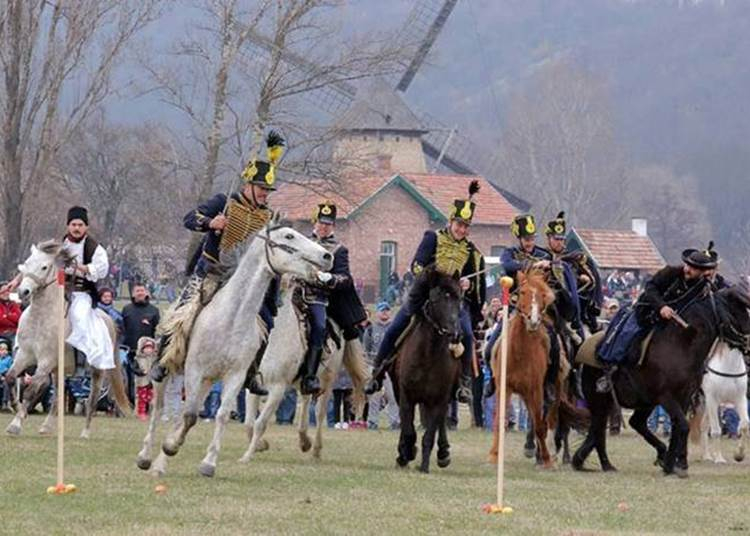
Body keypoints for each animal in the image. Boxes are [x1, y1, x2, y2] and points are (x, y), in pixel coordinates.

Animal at [4, 241, 131, 438]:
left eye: (44, 267)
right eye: (27, 263)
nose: (23, 291)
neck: (41, 318)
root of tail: (108, 319)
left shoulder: (46, 361)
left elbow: (32, 389)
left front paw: (16, 424)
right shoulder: (24, 355)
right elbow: (10, 379)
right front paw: (18, 410)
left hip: (97, 371)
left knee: (92, 399)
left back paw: (85, 432)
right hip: (59, 370)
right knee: (57, 396)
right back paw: (46, 427)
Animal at [138, 220, 332, 480]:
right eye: (289, 236)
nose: (327, 256)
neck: (231, 318)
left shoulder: (236, 376)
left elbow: (219, 415)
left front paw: (207, 463)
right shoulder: (195, 369)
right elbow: (189, 415)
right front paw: (171, 447)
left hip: (209, 380)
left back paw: (161, 463)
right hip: (169, 370)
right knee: (158, 409)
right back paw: (146, 456)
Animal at [239, 284, 368, 464]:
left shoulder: (277, 389)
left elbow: (260, 423)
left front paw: (247, 455)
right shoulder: (254, 388)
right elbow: (249, 423)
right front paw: (260, 445)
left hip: (328, 379)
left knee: (319, 413)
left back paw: (316, 450)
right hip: (306, 380)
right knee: (306, 401)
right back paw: (304, 441)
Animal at [390, 268, 468, 474]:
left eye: (459, 299)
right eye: (436, 300)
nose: (456, 335)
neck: (427, 355)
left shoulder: (438, 400)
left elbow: (429, 436)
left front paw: (424, 466)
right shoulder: (406, 396)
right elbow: (408, 430)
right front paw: (406, 453)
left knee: (440, 422)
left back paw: (443, 453)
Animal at [576, 286, 750, 476]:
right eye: (741, 311)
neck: (681, 346)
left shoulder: (686, 397)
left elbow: (680, 426)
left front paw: (677, 463)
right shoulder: (668, 397)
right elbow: (684, 426)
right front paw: (673, 464)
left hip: (643, 403)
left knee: (631, 423)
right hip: (600, 401)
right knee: (599, 431)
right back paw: (605, 464)